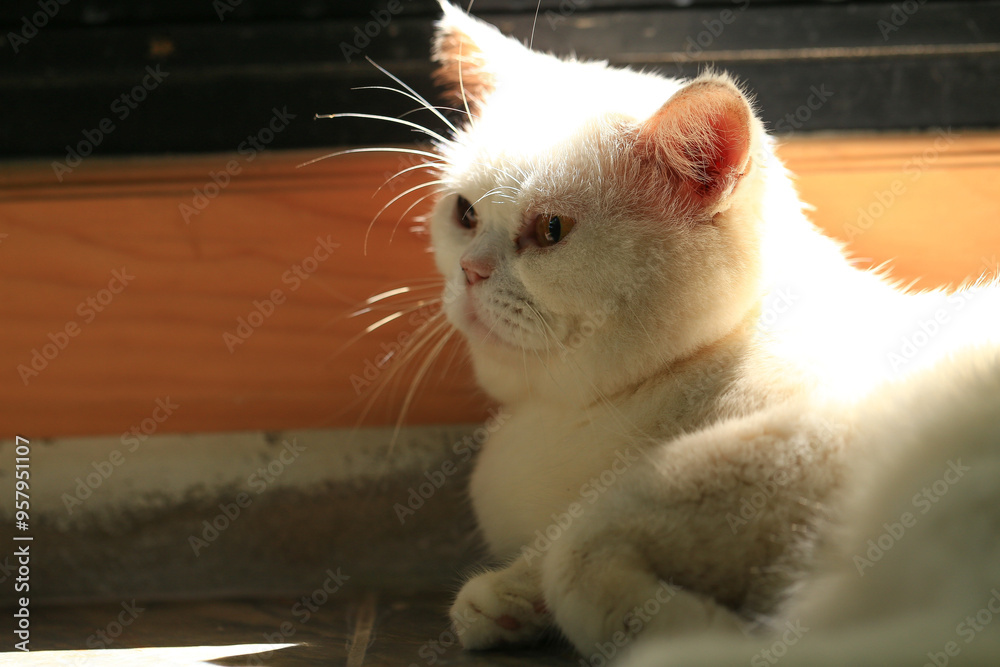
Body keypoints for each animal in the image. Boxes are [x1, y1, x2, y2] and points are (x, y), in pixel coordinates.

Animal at [400, 2, 1000, 664]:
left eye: (552, 229)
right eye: (465, 214)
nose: (470, 270)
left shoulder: (802, 438)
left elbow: (576, 548)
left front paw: (696, 629)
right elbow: (556, 547)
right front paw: (511, 601)